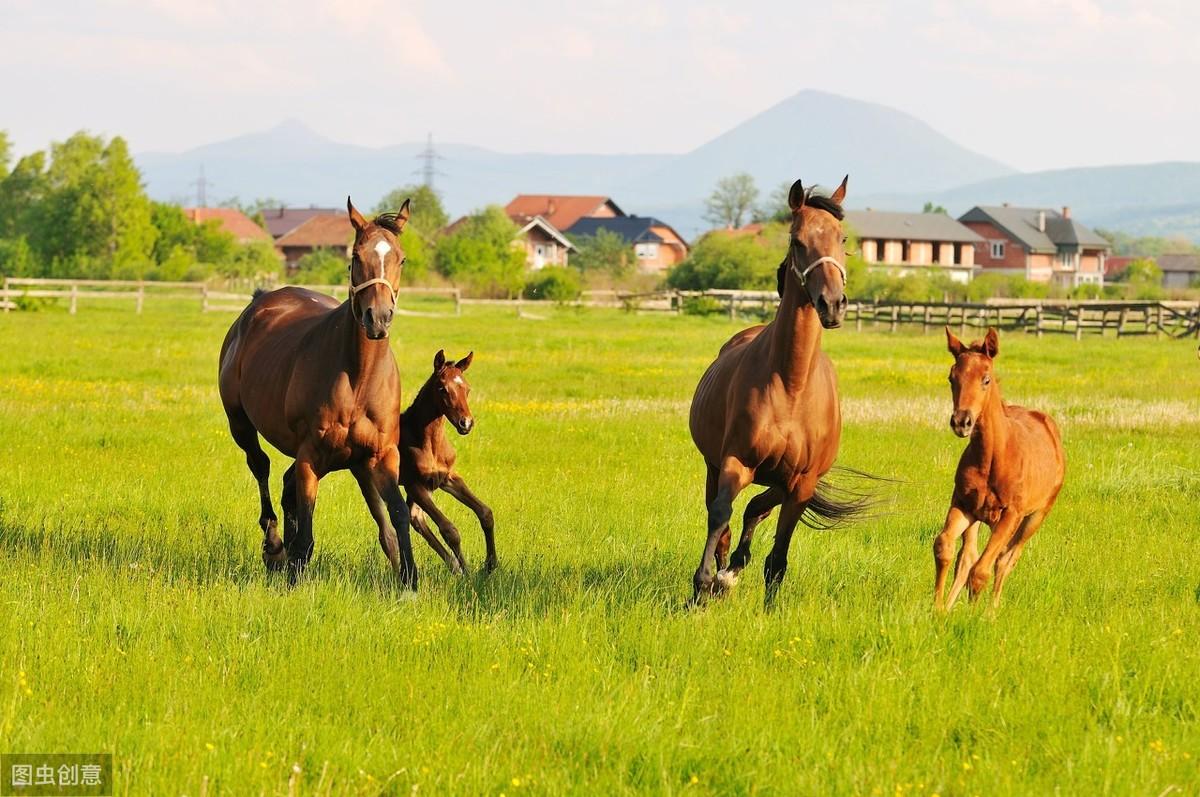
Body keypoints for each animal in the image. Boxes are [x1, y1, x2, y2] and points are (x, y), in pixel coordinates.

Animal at [218, 196, 420, 588]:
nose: (378, 317)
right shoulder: (311, 455)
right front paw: (293, 570)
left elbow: (398, 515)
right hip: (240, 424)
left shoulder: (381, 455)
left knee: (285, 485)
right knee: (261, 466)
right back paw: (274, 547)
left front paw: (409, 581)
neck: (358, 379)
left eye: (401, 258)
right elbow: (307, 533)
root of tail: (259, 301)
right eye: (356, 256)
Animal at [403, 348, 496, 573]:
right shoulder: (413, 484)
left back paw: (453, 566)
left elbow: (485, 513)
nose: (466, 423)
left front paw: (490, 565)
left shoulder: (446, 478)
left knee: (416, 518)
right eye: (442, 388)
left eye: (467, 389)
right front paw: (467, 572)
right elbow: (449, 530)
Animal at [691, 174, 868, 604]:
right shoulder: (736, 462)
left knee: (757, 507)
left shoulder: (802, 482)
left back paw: (734, 569)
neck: (791, 386)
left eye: (841, 238)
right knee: (727, 516)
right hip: (714, 465)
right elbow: (720, 516)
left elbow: (778, 558)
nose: (833, 304)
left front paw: (762, 601)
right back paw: (724, 574)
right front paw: (702, 587)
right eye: (797, 240)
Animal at [931, 326, 1065, 607]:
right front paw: (937, 608)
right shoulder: (963, 505)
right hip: (981, 518)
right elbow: (945, 547)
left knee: (1006, 560)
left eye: (986, 379)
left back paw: (992, 609)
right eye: (951, 378)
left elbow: (981, 571)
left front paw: (975, 614)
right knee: (968, 556)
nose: (962, 421)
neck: (992, 460)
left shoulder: (1010, 515)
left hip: (1035, 516)